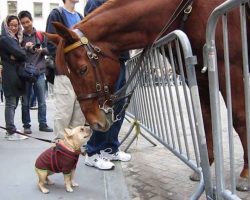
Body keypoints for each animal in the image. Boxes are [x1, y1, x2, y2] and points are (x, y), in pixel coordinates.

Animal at [46, 0, 248, 191]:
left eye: (83, 70)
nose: (94, 122)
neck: (189, 9)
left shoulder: (231, 68)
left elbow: (239, 118)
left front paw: (245, 173)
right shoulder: (199, 74)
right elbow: (206, 120)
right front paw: (205, 167)